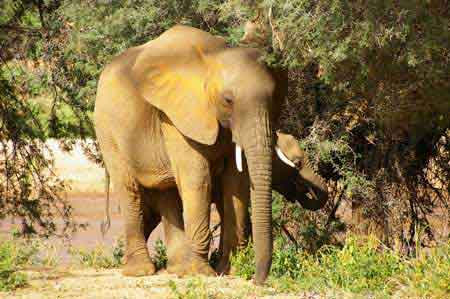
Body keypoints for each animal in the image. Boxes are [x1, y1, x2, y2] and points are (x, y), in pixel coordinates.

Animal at [93, 25, 286, 284]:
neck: (214, 56)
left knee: (167, 191)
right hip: (107, 130)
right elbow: (198, 179)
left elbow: (236, 184)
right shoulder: (176, 115)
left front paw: (229, 270)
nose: (257, 280)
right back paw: (141, 271)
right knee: (129, 188)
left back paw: (175, 268)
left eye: (274, 98)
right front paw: (199, 273)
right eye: (228, 100)